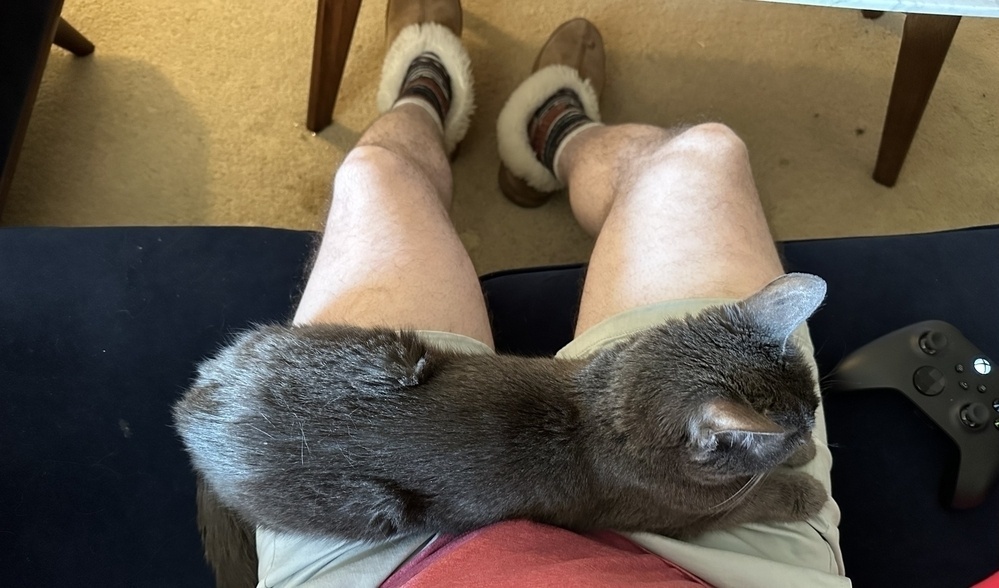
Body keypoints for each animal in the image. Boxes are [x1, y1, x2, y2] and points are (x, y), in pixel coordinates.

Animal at [172, 272, 828, 548]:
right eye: (790, 424)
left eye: (813, 407)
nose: (808, 433)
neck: (608, 402)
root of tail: (191, 407)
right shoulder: (682, 516)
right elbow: (753, 498)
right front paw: (806, 483)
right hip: (371, 507)